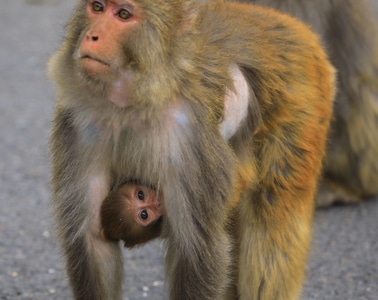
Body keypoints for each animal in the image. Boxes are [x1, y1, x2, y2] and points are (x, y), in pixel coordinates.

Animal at [48, 0, 336, 300]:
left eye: (124, 15)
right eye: (97, 7)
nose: (92, 36)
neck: (134, 104)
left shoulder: (188, 138)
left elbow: (196, 250)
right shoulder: (81, 124)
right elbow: (93, 240)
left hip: (302, 97)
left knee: (271, 224)